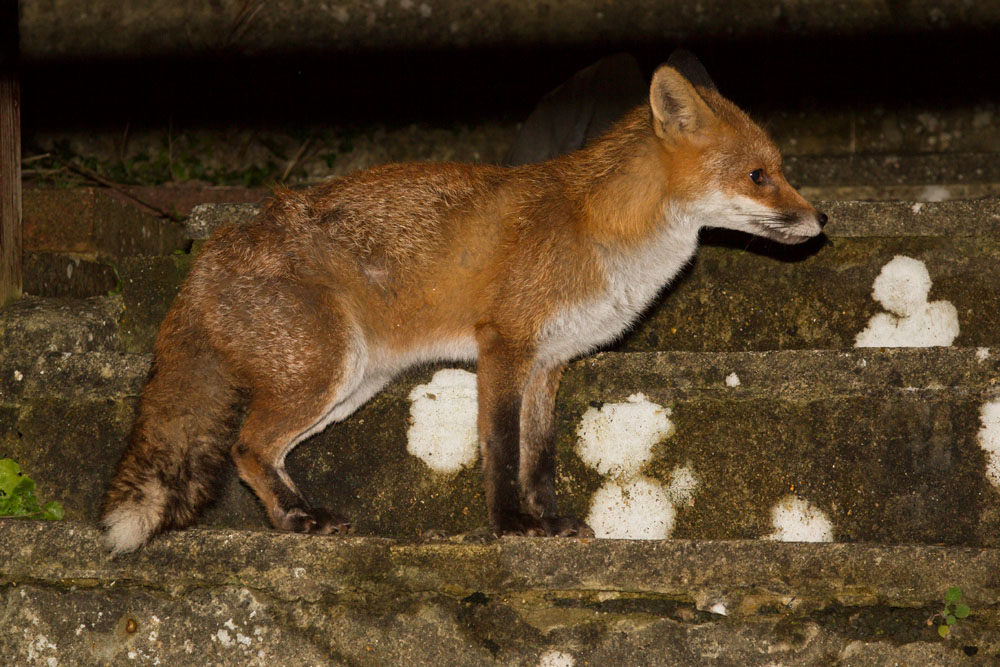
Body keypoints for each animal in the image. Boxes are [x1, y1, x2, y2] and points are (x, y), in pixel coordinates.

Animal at [101, 56, 826, 554]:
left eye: (781, 169)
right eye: (759, 176)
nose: (823, 218)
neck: (605, 232)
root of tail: (213, 251)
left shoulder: (549, 363)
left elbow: (539, 458)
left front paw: (548, 522)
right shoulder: (504, 344)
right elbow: (500, 450)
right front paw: (510, 526)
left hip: (352, 385)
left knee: (265, 452)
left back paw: (297, 514)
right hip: (324, 372)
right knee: (245, 447)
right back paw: (298, 520)